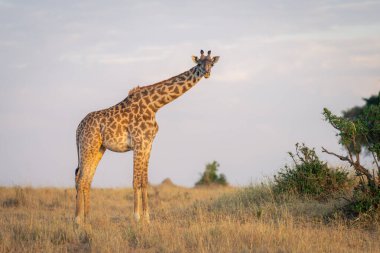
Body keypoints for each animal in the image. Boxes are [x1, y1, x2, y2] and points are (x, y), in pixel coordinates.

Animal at [74, 49, 220, 223]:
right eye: (199, 63)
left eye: (211, 64)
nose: (207, 73)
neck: (154, 105)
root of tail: (78, 128)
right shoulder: (138, 143)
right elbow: (135, 180)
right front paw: (136, 217)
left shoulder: (148, 144)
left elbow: (144, 181)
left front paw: (147, 218)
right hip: (88, 145)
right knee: (80, 178)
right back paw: (77, 220)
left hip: (99, 148)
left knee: (87, 180)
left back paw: (87, 219)